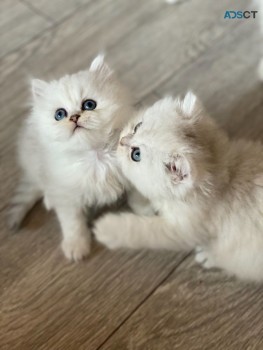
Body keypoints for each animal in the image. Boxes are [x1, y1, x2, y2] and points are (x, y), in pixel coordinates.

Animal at [8, 56, 137, 262]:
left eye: (89, 105)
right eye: (60, 114)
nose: (75, 117)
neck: (96, 155)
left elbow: (139, 198)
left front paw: (147, 214)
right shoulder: (68, 197)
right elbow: (73, 224)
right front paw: (76, 247)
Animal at [95, 92, 263, 282]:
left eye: (136, 154)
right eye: (137, 127)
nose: (121, 141)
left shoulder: (181, 231)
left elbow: (139, 230)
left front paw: (105, 229)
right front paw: (144, 205)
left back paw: (208, 256)